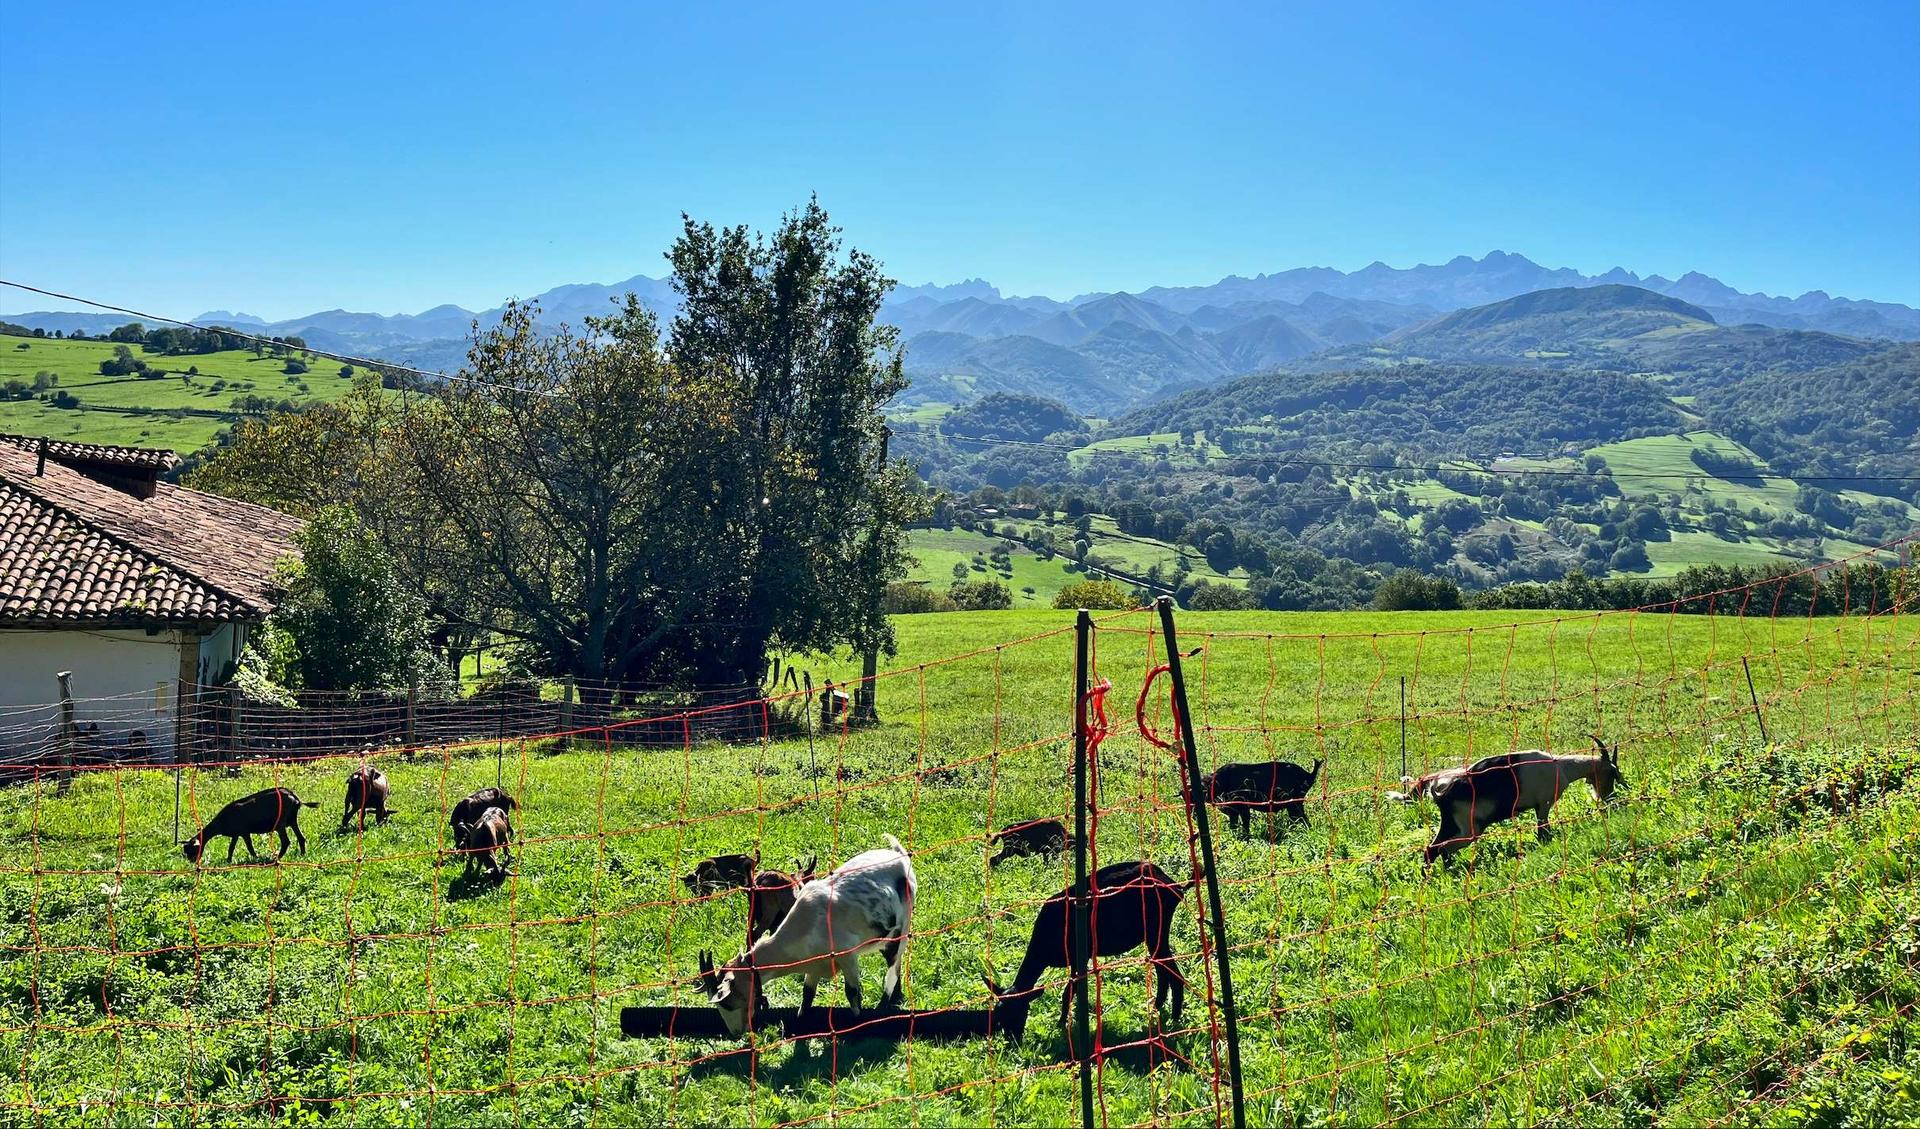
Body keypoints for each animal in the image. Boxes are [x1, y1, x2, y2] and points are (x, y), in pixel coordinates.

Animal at [181, 783, 316, 864]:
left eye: (192, 850)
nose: (192, 862)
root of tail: (295, 798)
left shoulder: (244, 832)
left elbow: (249, 847)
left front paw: (256, 858)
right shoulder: (236, 834)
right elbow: (231, 848)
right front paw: (228, 860)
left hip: (280, 823)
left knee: (286, 841)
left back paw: (276, 859)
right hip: (292, 820)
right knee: (301, 838)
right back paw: (302, 855)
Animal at [702, 833, 917, 1036]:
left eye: (726, 1002)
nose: (735, 1032)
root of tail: (899, 856)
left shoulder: (848, 956)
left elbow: (852, 994)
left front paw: (857, 1024)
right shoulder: (813, 967)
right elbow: (806, 998)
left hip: (902, 927)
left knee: (893, 964)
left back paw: (886, 1002)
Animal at [990, 864, 1182, 1044]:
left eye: (1018, 1011)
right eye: (999, 1014)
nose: (1011, 1041)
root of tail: (1174, 885)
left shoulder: (1080, 956)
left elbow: (1068, 991)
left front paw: (1061, 1024)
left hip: (1157, 928)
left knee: (1173, 973)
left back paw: (1174, 1020)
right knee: (1162, 969)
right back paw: (1157, 1009)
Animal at [1428, 737, 1620, 867]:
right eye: (1612, 773)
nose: (1611, 798)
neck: (1561, 767)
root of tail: (1442, 794)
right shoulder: (1544, 804)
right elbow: (1543, 832)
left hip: (1452, 824)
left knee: (1431, 848)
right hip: (1470, 829)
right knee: (1441, 848)